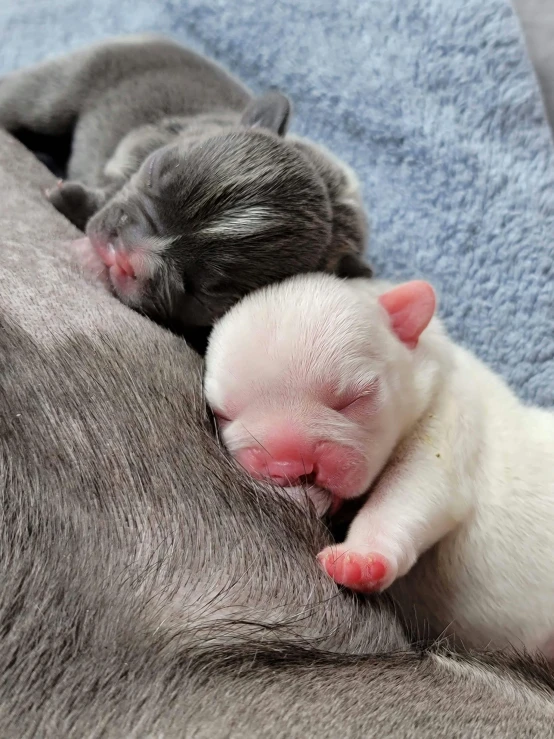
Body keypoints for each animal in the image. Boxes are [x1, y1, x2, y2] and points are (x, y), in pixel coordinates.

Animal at [2, 34, 370, 330]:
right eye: (152, 175)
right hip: (65, 86)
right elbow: (119, 179)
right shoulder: (152, 138)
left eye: (201, 291)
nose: (127, 252)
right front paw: (72, 199)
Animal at [205, 274, 552, 660]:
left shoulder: (451, 422)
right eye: (222, 414)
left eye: (353, 399)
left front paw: (358, 557)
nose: (290, 464)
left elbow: (410, 491)